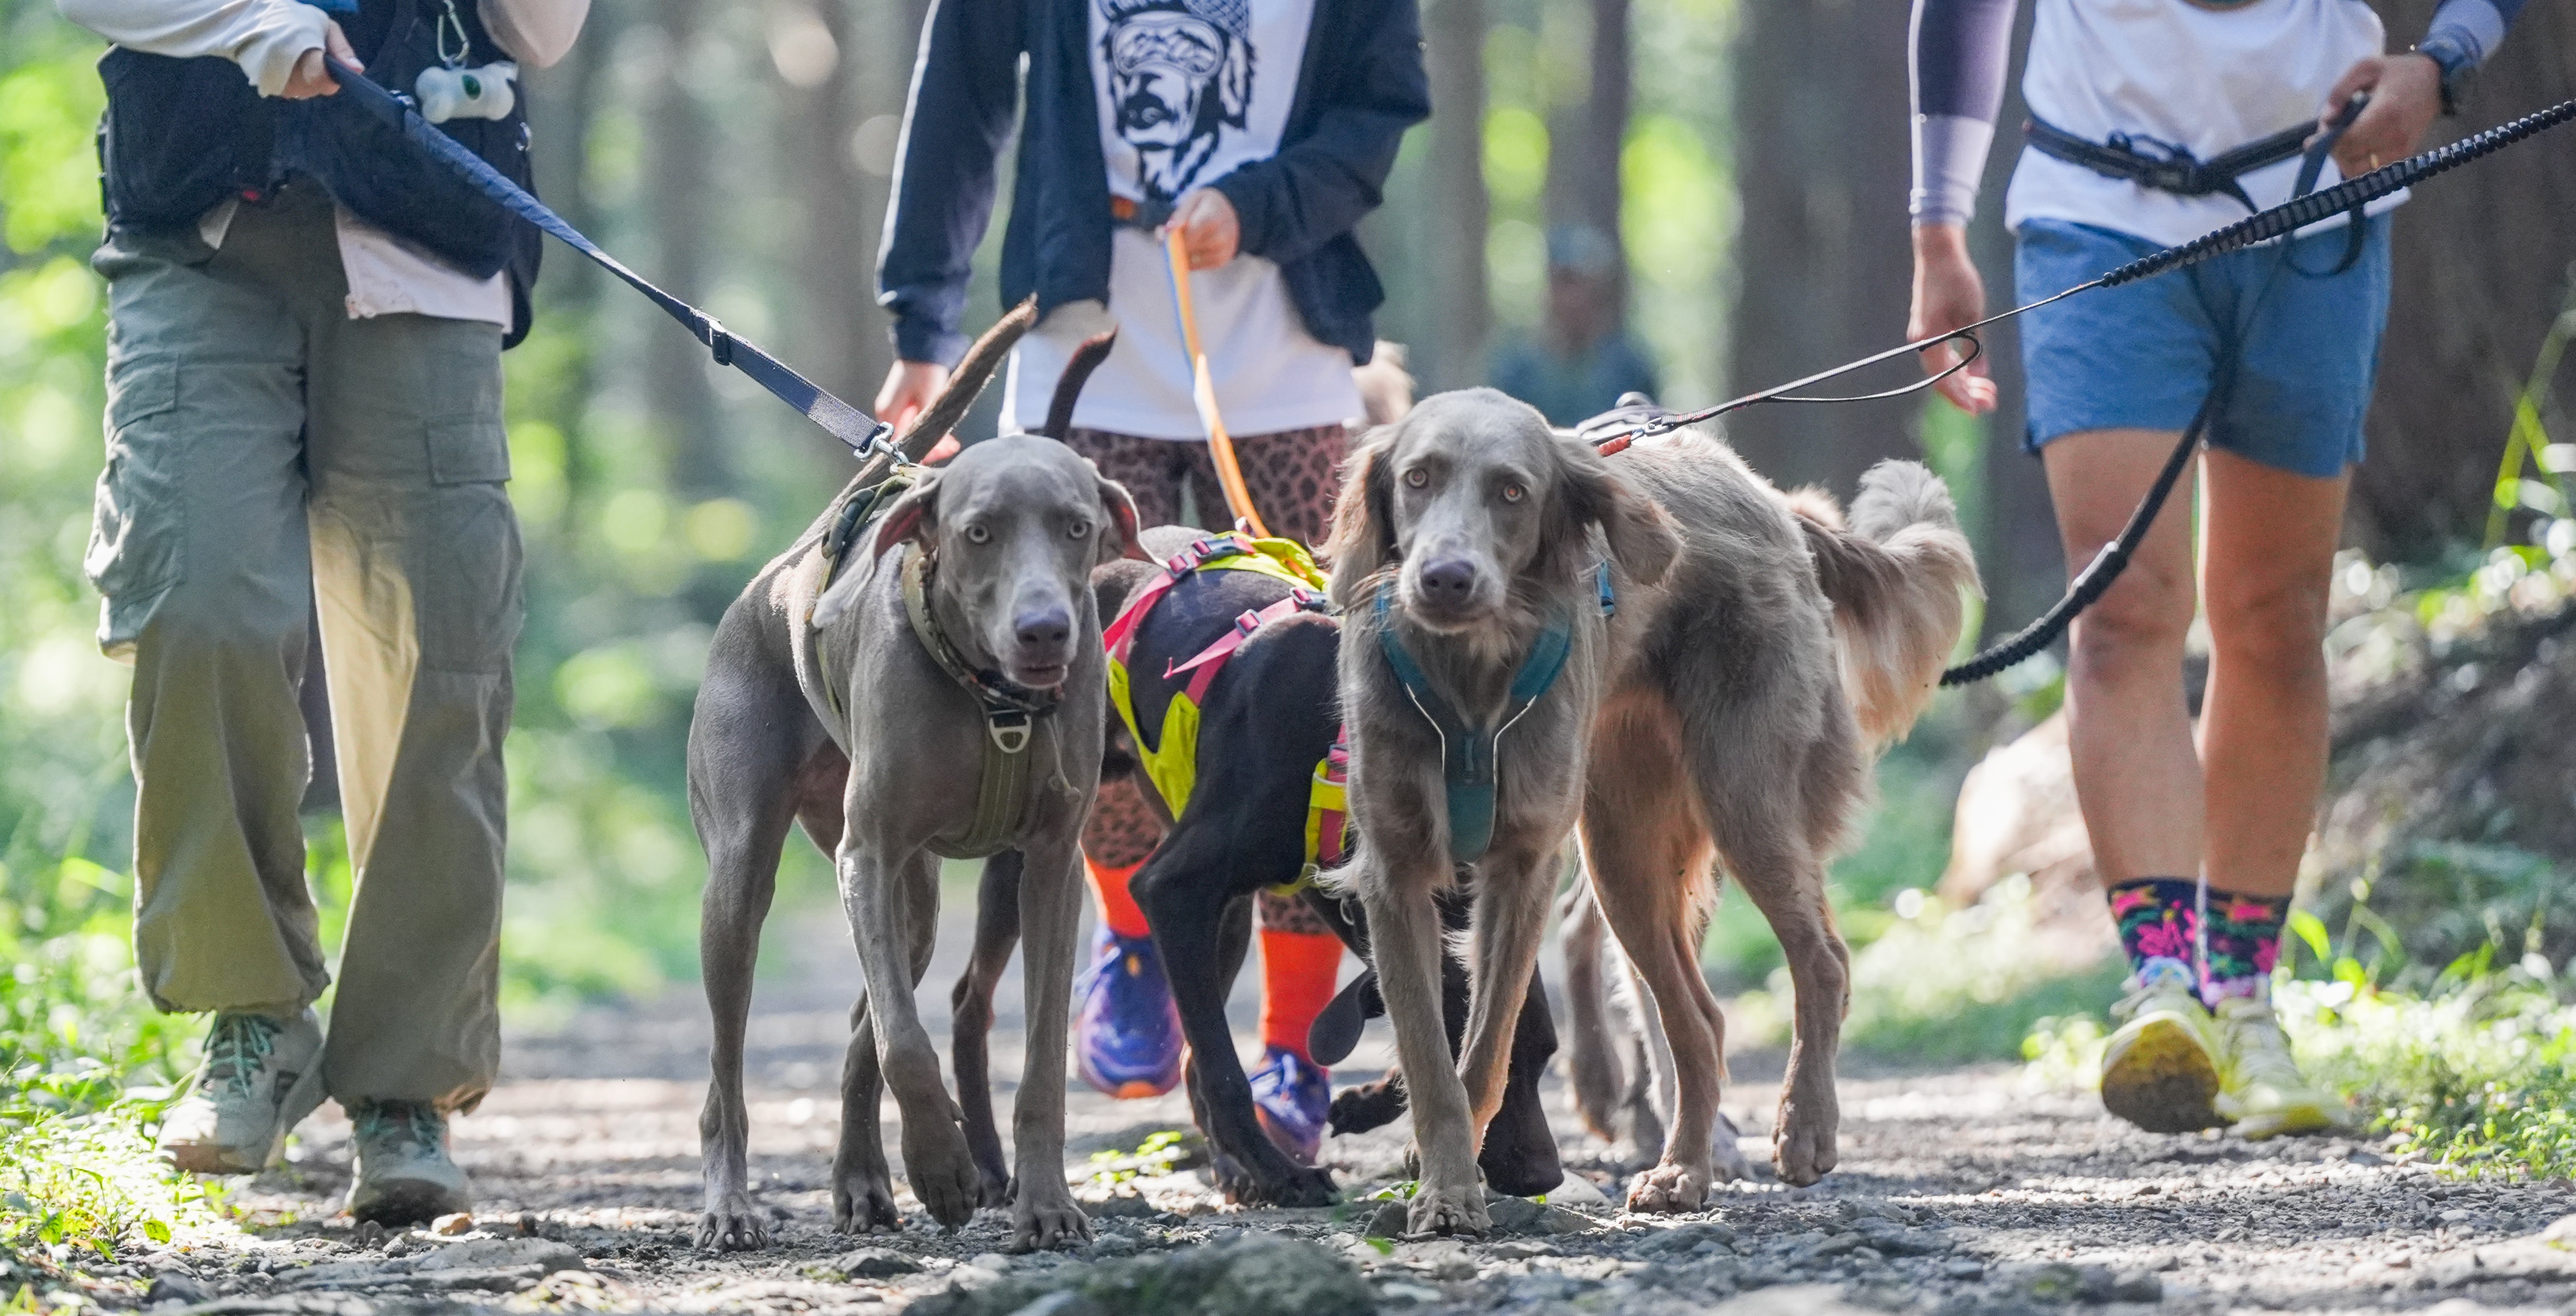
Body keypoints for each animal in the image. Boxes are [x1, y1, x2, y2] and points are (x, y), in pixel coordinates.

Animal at [685, 312, 1138, 1256]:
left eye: (1077, 527)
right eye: (979, 531)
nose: (1045, 630)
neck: (993, 699)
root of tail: (788, 564)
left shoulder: (1049, 867)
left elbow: (1037, 1064)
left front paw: (1045, 1204)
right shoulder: (869, 851)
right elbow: (904, 1042)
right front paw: (941, 1168)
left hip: (912, 899)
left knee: (865, 1024)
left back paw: (861, 1180)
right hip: (744, 883)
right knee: (729, 1072)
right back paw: (731, 1205)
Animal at [1329, 391, 1968, 1236]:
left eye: (1512, 491)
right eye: (1417, 478)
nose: (1444, 578)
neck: (1467, 681)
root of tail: (1771, 502)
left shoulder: (1521, 870)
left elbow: (1487, 1046)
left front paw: (1455, 1181)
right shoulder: (1393, 876)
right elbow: (1431, 1059)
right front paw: (1446, 1190)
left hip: (1740, 800)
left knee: (1821, 960)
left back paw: (1802, 1128)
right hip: (1623, 854)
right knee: (1699, 1022)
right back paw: (1683, 1172)